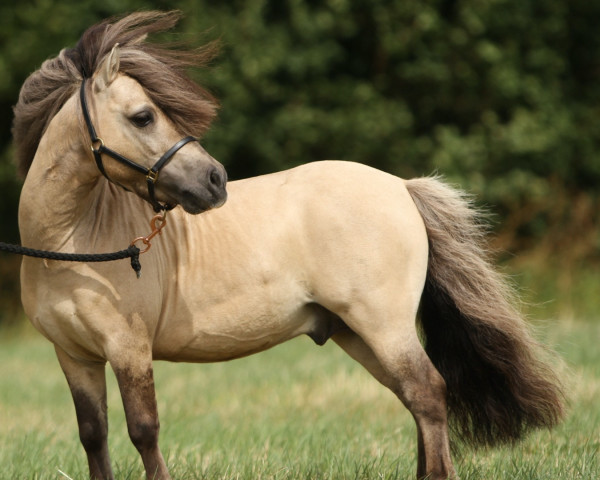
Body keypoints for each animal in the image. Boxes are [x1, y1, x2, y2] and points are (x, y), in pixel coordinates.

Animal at [14, 10, 564, 480]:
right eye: (144, 116)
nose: (215, 180)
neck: (72, 246)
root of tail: (400, 187)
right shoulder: (76, 357)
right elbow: (94, 436)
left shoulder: (129, 349)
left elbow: (144, 432)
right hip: (356, 334)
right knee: (416, 399)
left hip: (384, 327)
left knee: (428, 393)